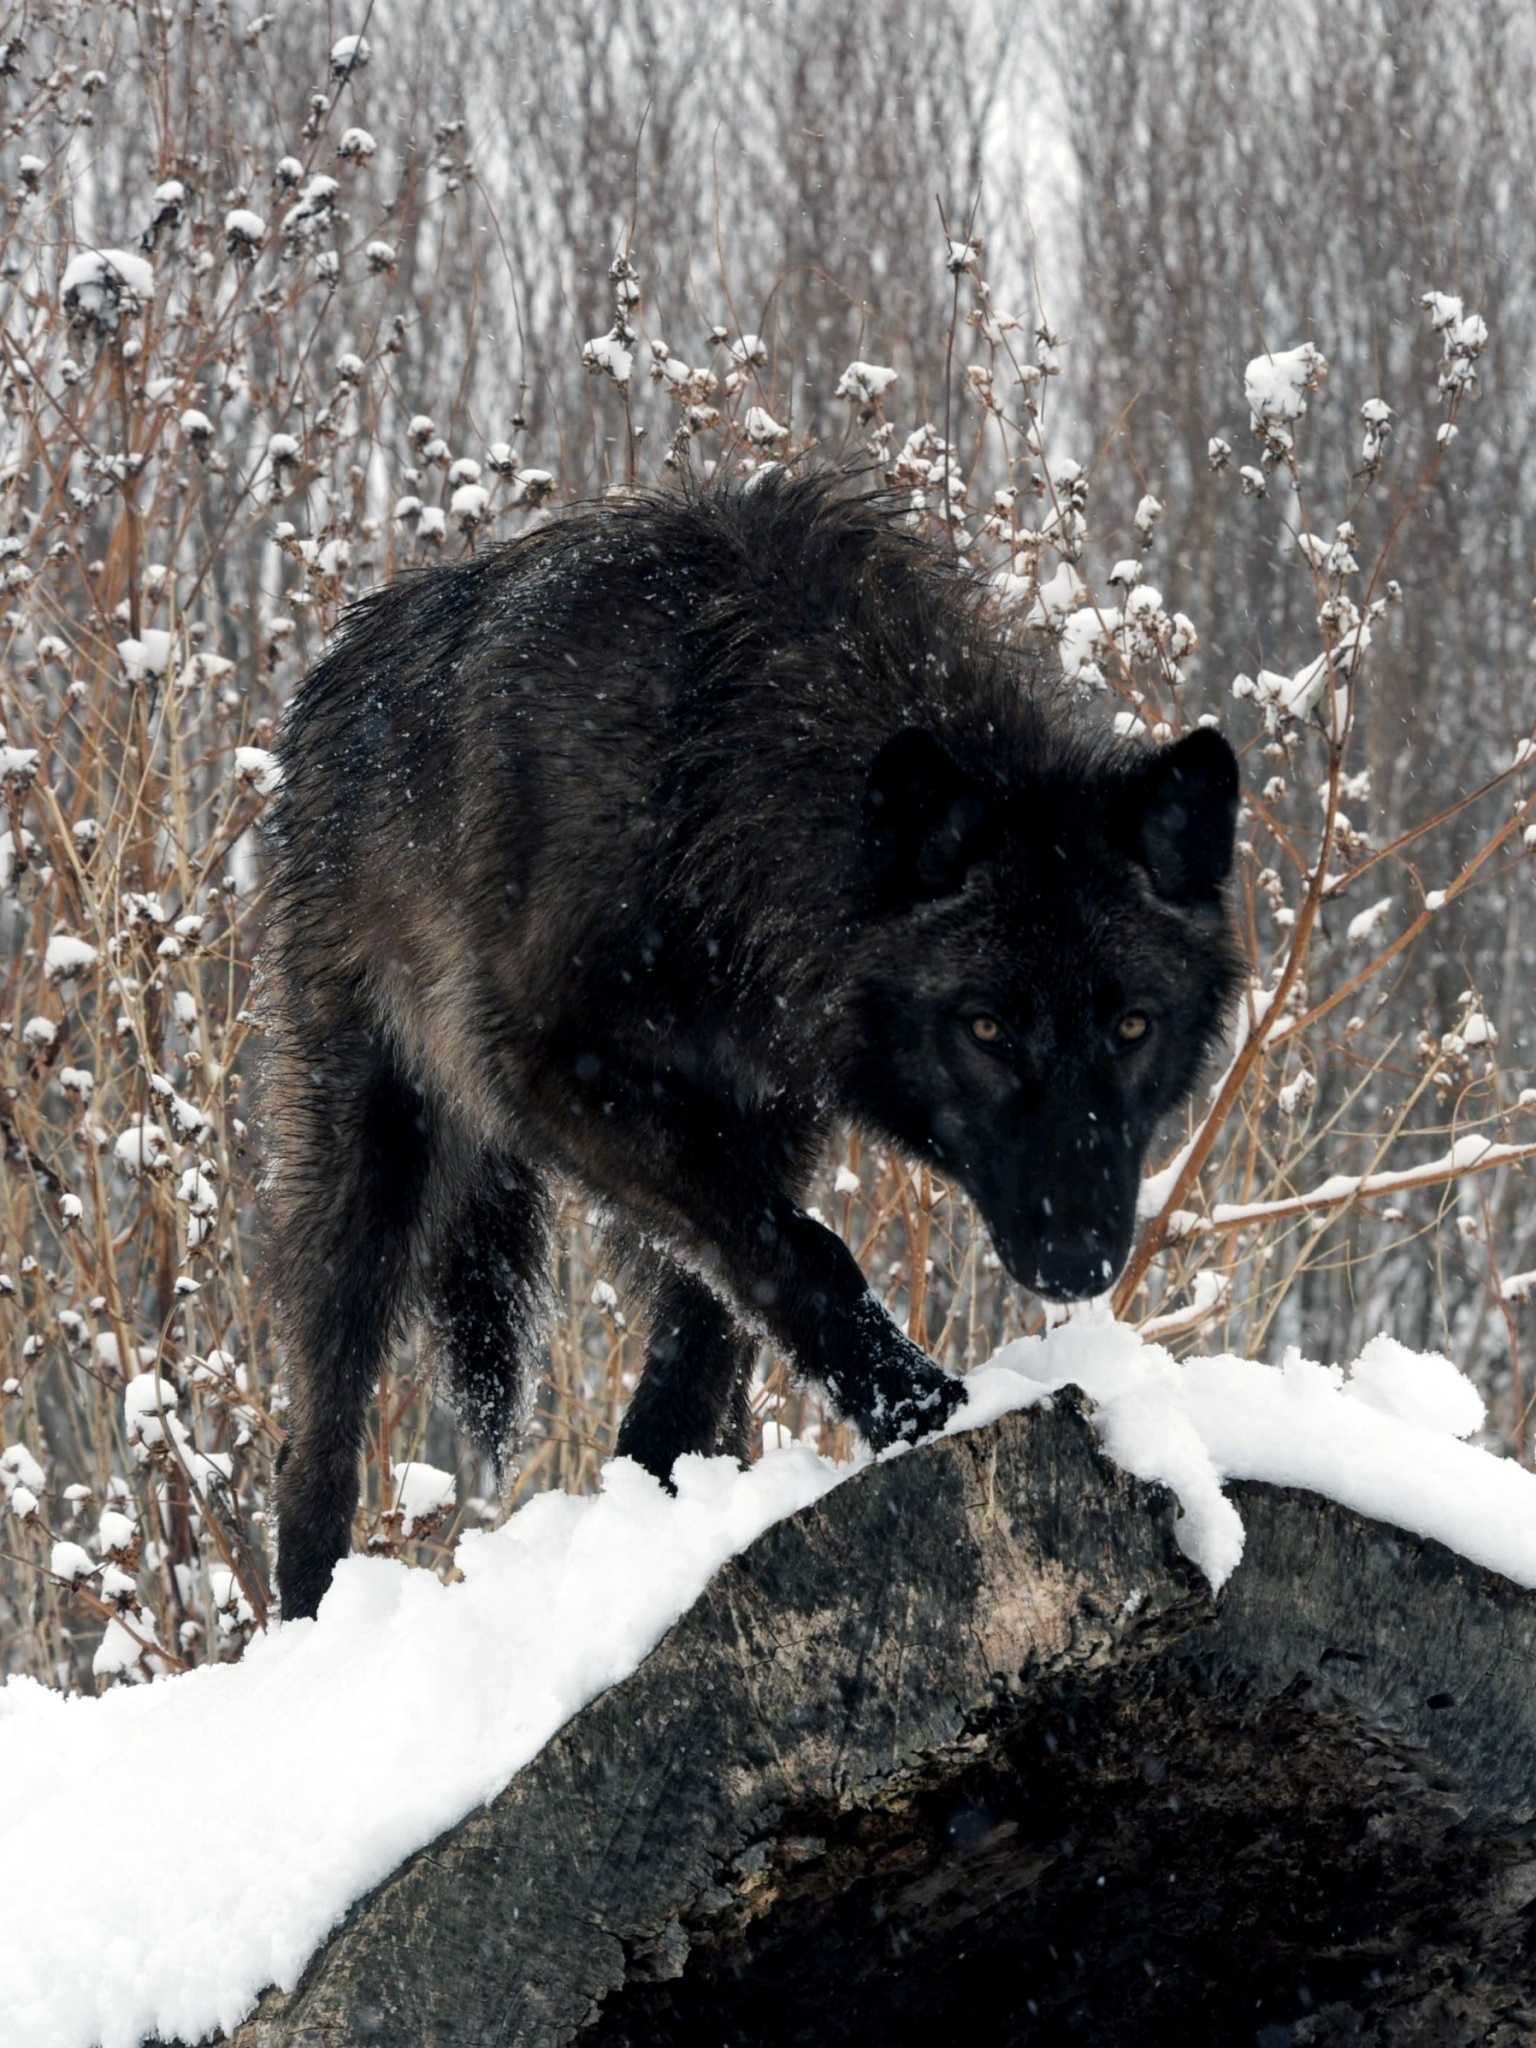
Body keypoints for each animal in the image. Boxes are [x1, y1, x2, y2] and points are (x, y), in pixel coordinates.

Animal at [264, 469, 1241, 1619]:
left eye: (1132, 1027)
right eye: (987, 1028)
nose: (1078, 1255)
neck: (717, 771)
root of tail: (341, 664)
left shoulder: (766, 1120)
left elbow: (718, 1325)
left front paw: (668, 1511)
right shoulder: (556, 1075)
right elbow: (802, 1253)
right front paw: (920, 1405)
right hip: (376, 1164)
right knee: (319, 1422)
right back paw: (311, 1620)